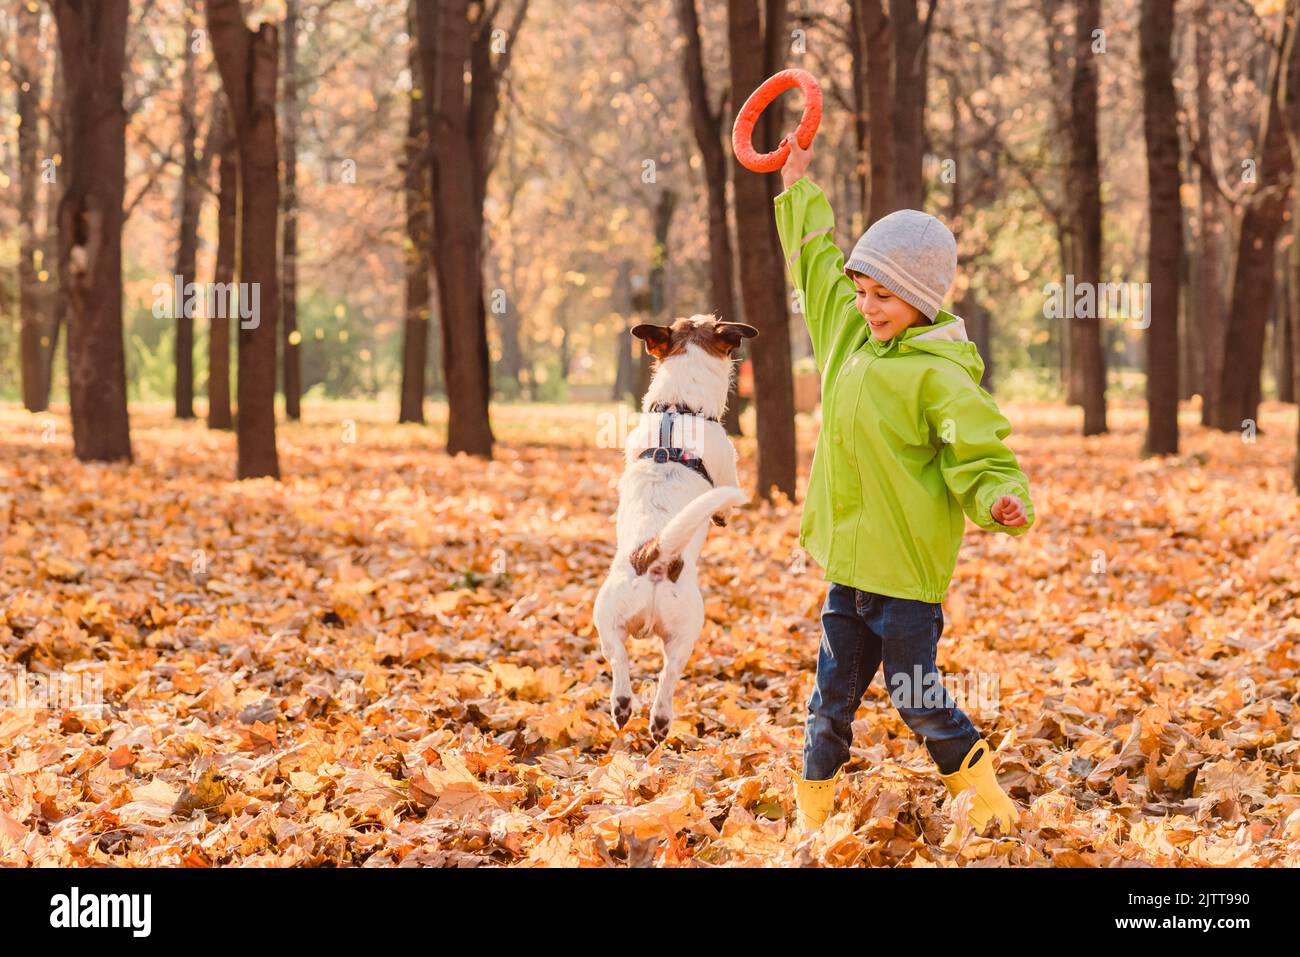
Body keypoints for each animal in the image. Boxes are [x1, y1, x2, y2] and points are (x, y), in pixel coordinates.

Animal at [590, 314, 754, 738]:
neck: (679, 410)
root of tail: (654, 554)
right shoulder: (728, 469)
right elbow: (726, 498)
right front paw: (723, 516)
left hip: (609, 623)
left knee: (620, 662)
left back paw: (624, 707)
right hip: (687, 630)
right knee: (668, 675)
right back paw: (660, 719)